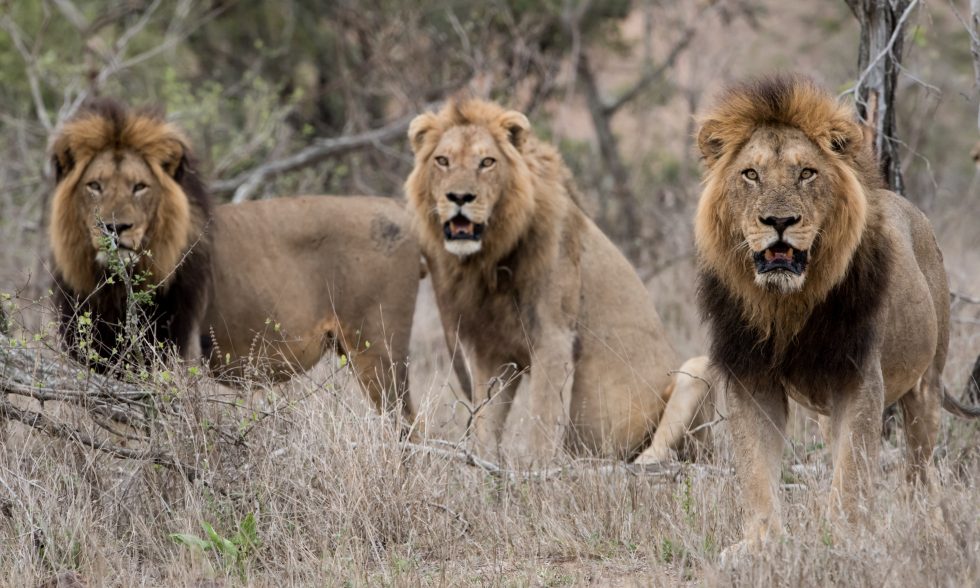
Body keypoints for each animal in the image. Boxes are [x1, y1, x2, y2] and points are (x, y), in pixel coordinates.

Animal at [404, 98, 714, 461]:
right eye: (443, 160)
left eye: (486, 162)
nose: (459, 198)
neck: (491, 256)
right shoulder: (493, 351)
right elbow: (485, 423)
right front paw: (482, 468)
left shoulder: (553, 339)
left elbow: (541, 421)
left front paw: (536, 473)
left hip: (697, 373)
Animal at [693, 74, 980, 552]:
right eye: (750, 174)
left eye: (806, 172)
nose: (779, 221)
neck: (786, 304)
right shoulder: (750, 377)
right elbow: (756, 468)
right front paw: (760, 543)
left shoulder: (858, 376)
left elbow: (853, 470)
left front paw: (844, 541)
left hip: (926, 382)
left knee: (919, 469)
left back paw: (927, 528)